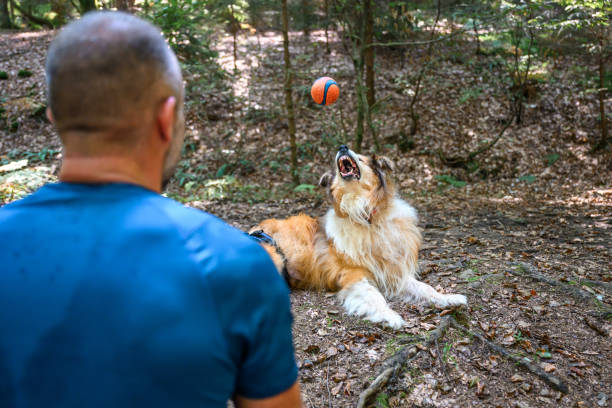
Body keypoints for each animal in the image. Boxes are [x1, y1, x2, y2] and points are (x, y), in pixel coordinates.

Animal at [251, 145, 466, 326]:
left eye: (361, 158)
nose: (342, 147)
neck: (367, 218)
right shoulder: (354, 275)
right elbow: (375, 296)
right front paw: (390, 316)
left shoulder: (392, 272)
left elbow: (425, 288)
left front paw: (448, 298)